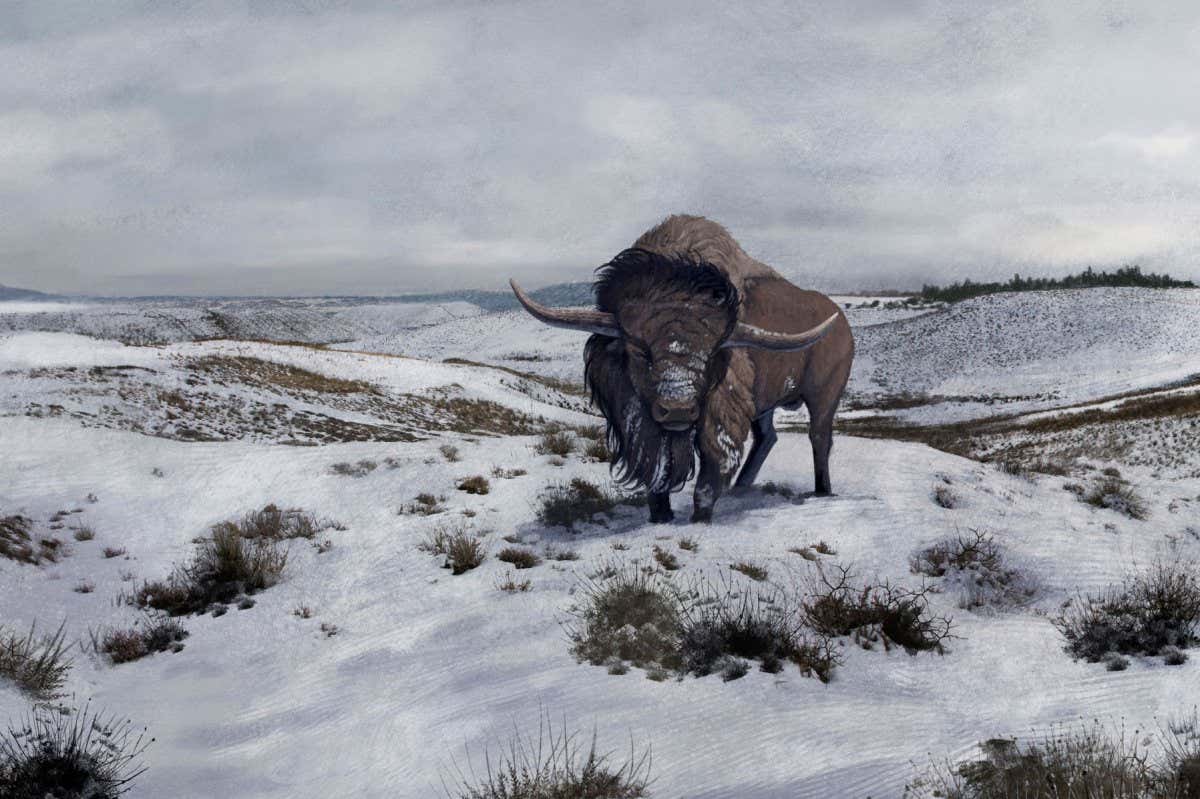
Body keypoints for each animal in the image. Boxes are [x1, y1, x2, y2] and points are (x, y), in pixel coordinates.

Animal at [511, 214, 854, 523]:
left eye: (713, 352)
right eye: (640, 351)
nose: (678, 410)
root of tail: (840, 321)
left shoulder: (719, 412)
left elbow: (711, 465)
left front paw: (700, 517)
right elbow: (658, 466)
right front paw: (660, 515)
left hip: (823, 397)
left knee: (819, 437)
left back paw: (821, 491)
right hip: (765, 405)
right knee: (767, 437)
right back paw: (742, 487)